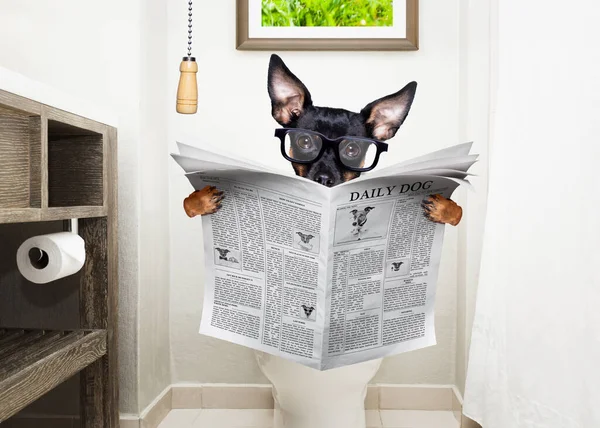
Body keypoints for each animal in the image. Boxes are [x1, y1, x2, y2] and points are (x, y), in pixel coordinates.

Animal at [183, 54, 464, 226]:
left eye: (352, 149)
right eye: (305, 143)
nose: (324, 180)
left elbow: (458, 211)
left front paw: (443, 207)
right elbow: (188, 203)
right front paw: (201, 200)